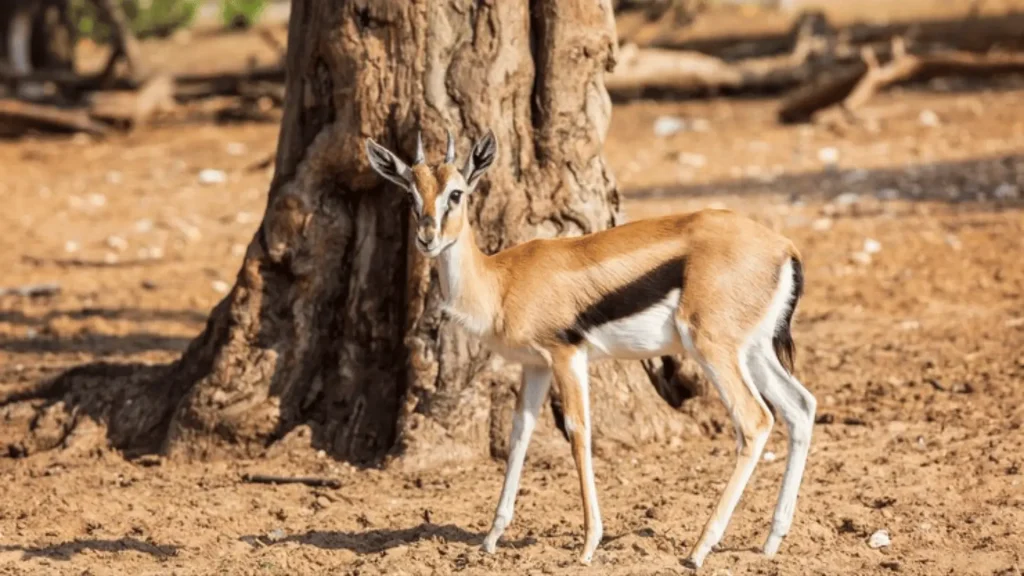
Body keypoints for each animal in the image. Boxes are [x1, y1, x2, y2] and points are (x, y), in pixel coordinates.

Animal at [365, 129, 816, 569]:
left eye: (456, 193)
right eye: (411, 194)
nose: (427, 238)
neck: (502, 281)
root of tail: (784, 247)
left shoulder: (567, 356)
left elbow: (578, 432)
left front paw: (588, 545)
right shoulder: (535, 366)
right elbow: (519, 434)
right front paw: (490, 539)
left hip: (714, 349)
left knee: (755, 420)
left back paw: (700, 549)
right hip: (754, 351)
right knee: (800, 406)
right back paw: (771, 541)